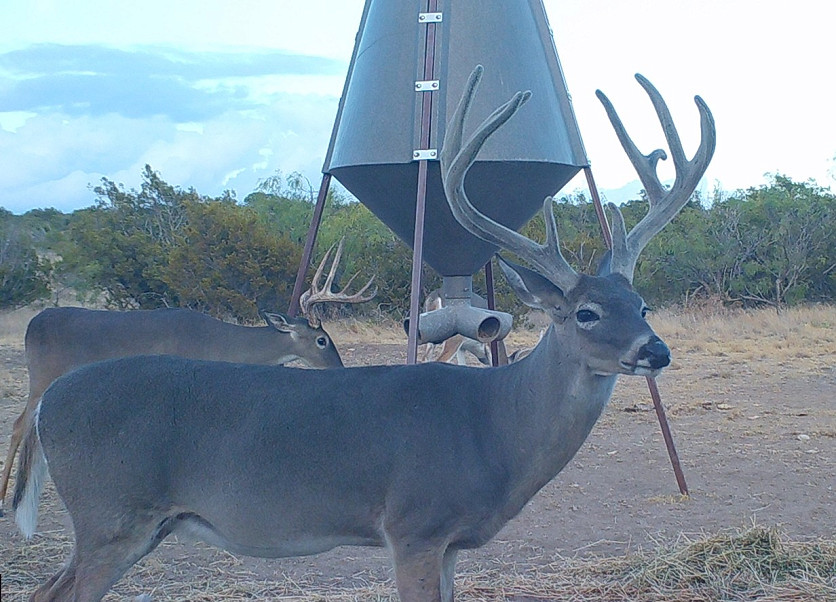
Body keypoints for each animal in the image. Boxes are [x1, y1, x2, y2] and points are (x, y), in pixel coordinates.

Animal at [0, 237, 372, 512]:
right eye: (322, 340)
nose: (340, 369)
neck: (223, 344)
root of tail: (34, 322)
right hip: (42, 375)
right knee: (19, 425)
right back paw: (5, 500)